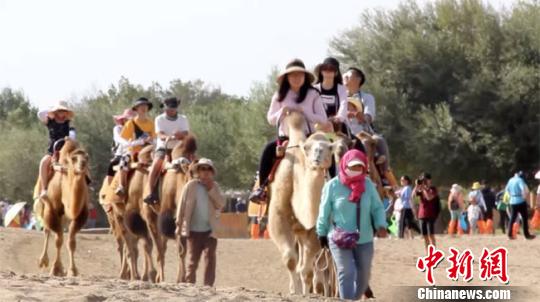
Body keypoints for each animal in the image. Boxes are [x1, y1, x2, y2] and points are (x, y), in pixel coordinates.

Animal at [33, 138, 89, 278]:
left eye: (87, 157)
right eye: (74, 158)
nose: (82, 164)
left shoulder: (80, 214)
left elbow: (71, 241)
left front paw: (72, 270)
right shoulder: (52, 210)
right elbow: (58, 240)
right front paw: (55, 268)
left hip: (63, 217)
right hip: (44, 208)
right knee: (47, 231)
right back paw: (43, 261)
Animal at [266, 111, 336, 294]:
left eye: (329, 148)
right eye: (307, 148)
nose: (318, 155)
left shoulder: (314, 229)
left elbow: (307, 270)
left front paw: (305, 293)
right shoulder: (278, 217)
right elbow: (290, 260)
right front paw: (296, 292)